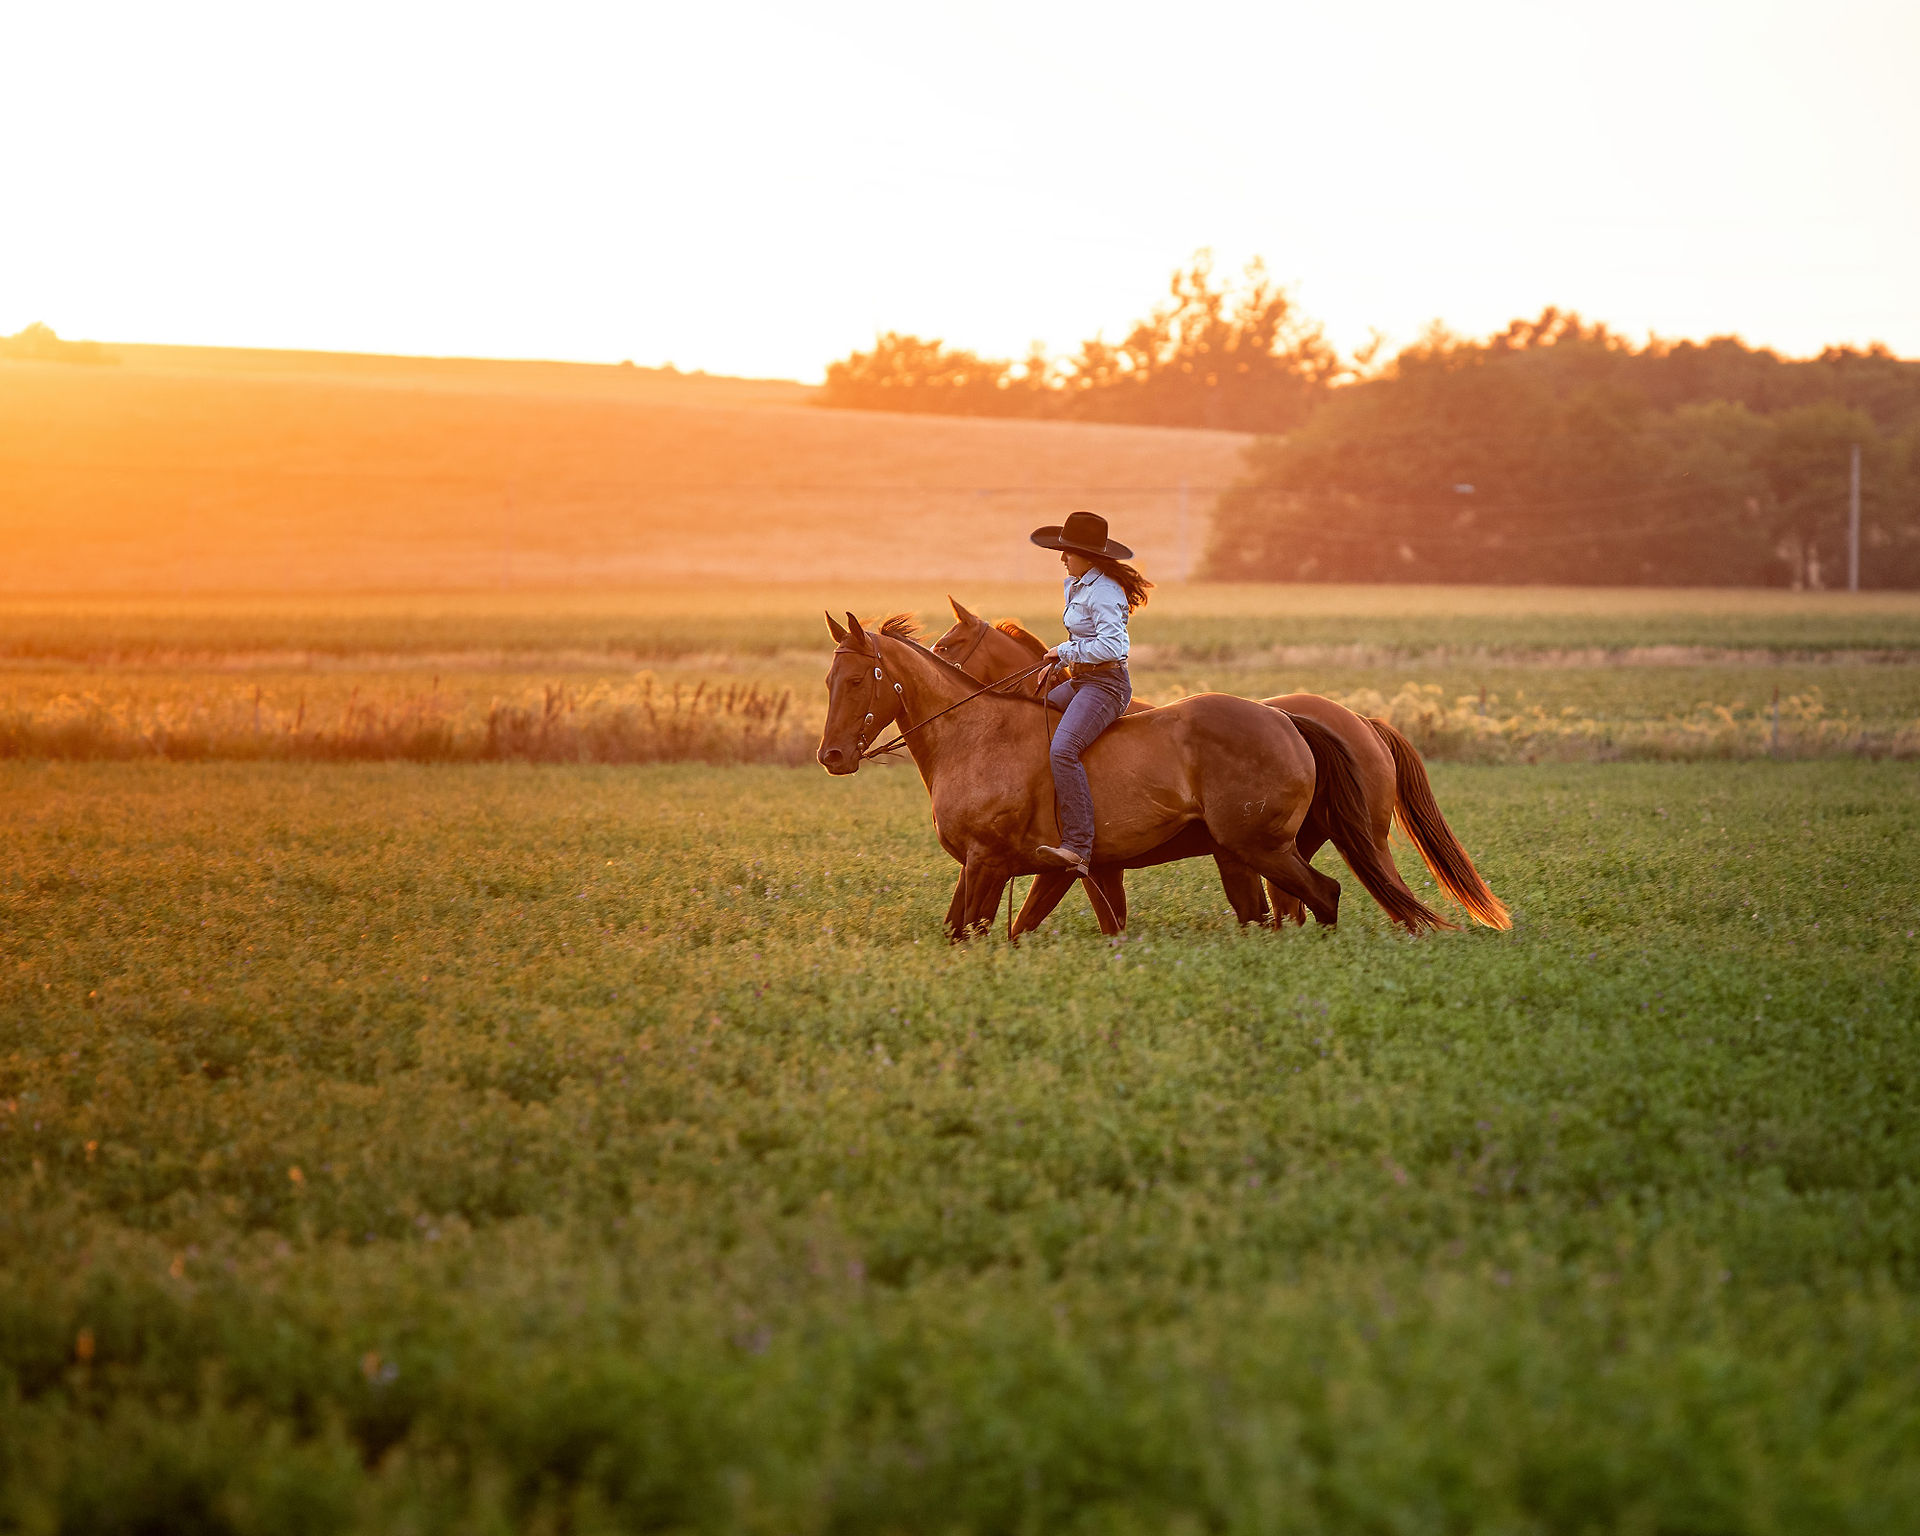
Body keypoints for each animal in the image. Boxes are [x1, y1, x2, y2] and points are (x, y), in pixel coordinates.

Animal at [817, 612, 1448, 941]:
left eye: (858, 680)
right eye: (829, 679)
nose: (832, 755)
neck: (977, 736)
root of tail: (1289, 718)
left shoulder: (989, 864)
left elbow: (980, 931)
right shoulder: (1059, 870)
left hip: (1266, 847)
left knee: (1326, 895)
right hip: (1256, 853)